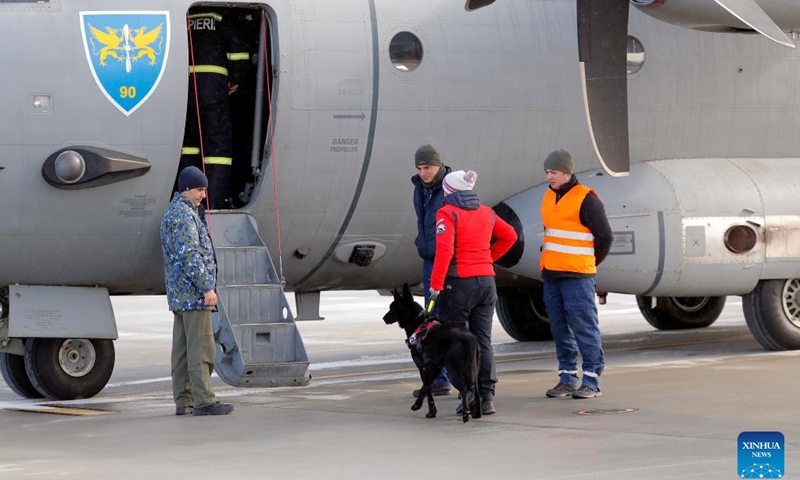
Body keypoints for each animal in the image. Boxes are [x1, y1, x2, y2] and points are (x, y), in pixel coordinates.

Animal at [382, 284, 482, 422]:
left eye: (392, 308)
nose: (384, 318)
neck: (417, 322)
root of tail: (470, 339)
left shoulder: (423, 367)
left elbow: (426, 388)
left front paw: (421, 407)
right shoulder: (435, 367)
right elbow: (427, 385)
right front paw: (431, 411)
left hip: (454, 371)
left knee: (463, 388)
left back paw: (465, 414)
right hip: (473, 369)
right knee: (476, 391)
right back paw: (477, 413)